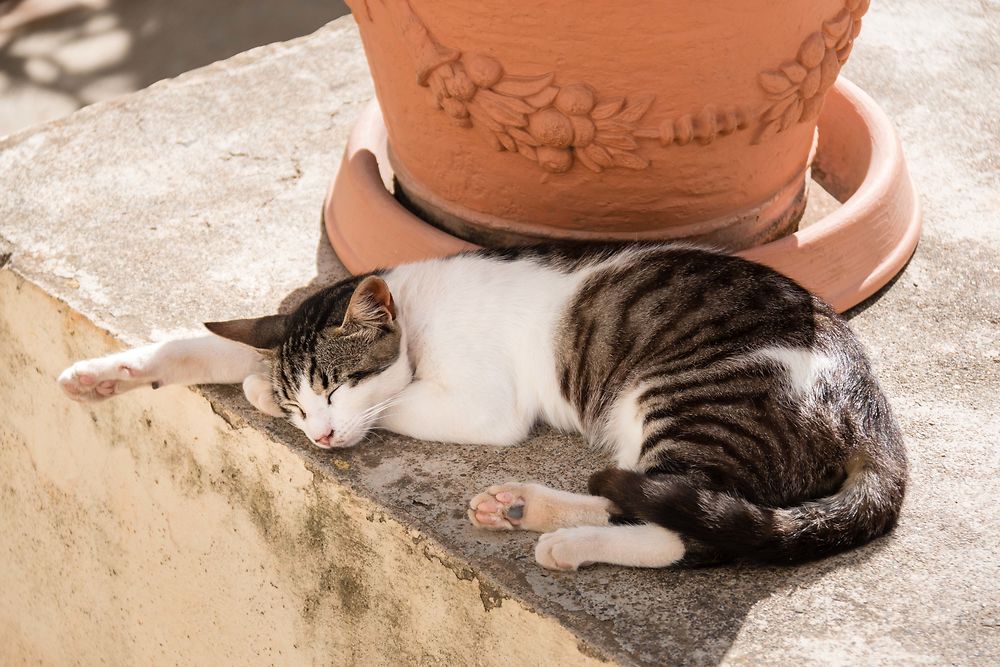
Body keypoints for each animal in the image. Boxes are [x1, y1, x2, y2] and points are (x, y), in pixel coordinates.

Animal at [56, 243, 908, 572]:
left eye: (335, 388)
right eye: (308, 406)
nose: (319, 435)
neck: (419, 306)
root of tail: (867, 398)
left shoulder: (482, 404)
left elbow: (395, 403)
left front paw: (265, 389)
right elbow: (205, 349)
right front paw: (110, 373)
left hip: (694, 399)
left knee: (686, 527)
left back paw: (564, 541)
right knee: (640, 491)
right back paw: (524, 507)